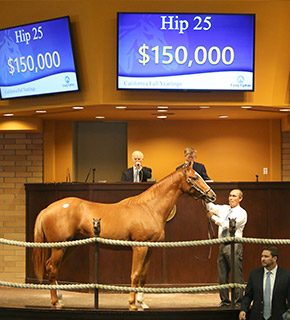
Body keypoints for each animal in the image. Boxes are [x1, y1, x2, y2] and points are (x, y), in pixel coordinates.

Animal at [32, 162, 216, 310]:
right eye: (195, 177)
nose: (212, 195)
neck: (149, 208)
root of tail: (47, 209)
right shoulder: (140, 247)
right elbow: (135, 274)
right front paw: (132, 303)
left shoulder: (150, 249)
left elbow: (143, 276)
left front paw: (142, 303)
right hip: (59, 246)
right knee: (52, 269)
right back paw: (56, 302)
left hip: (69, 246)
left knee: (52, 268)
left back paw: (60, 299)